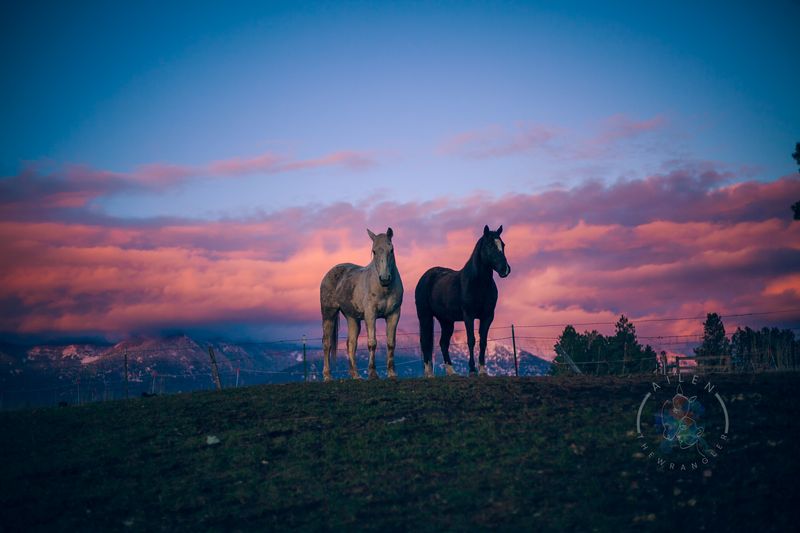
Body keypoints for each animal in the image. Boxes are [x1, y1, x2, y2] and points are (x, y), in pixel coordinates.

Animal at [320, 228, 403, 381]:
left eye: (391, 250)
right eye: (374, 251)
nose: (385, 278)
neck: (384, 289)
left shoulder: (394, 314)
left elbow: (391, 343)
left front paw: (392, 373)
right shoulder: (370, 315)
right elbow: (372, 342)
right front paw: (373, 374)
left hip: (352, 318)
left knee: (351, 344)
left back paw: (356, 375)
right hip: (328, 314)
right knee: (327, 343)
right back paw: (328, 376)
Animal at [415, 225, 510, 377]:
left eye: (503, 245)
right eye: (489, 245)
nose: (505, 269)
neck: (478, 283)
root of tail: (425, 277)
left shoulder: (488, 316)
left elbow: (483, 342)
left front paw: (482, 370)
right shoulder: (468, 316)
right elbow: (471, 340)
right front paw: (472, 370)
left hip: (446, 321)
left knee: (443, 343)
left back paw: (451, 371)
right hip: (425, 317)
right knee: (425, 342)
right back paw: (429, 373)